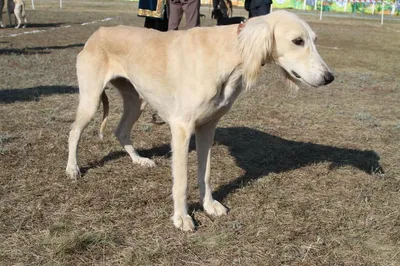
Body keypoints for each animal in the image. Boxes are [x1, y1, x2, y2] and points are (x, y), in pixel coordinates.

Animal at [66, 10, 334, 231]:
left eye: (314, 40)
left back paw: (139, 160)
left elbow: (205, 173)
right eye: (297, 41)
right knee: (74, 131)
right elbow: (182, 181)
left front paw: (210, 206)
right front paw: (182, 218)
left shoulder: (207, 127)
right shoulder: (182, 128)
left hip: (136, 101)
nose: (329, 78)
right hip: (91, 100)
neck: (227, 53)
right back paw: (72, 168)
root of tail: (98, 32)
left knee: (121, 130)